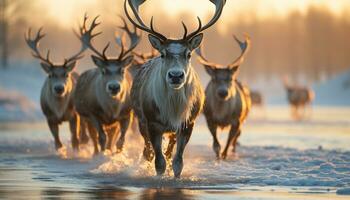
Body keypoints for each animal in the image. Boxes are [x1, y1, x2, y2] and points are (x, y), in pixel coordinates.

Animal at [23, 15, 90, 150]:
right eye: (50, 75)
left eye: (66, 74)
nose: (59, 88)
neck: (59, 111)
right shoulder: (49, 117)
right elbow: (57, 143)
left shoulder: (74, 115)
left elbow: (75, 140)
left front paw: (76, 150)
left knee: (83, 131)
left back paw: (85, 140)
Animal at [74, 15, 141, 155]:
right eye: (104, 71)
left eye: (122, 70)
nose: (114, 87)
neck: (111, 110)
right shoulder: (93, 112)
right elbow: (101, 137)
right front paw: (102, 154)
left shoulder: (127, 113)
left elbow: (120, 140)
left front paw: (117, 154)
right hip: (85, 115)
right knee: (93, 137)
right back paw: (96, 152)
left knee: (111, 136)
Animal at [124, 0, 226, 177]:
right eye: (163, 54)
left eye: (189, 54)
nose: (176, 75)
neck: (172, 110)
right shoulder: (152, 122)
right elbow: (159, 162)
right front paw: (159, 178)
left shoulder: (187, 122)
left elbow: (178, 161)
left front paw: (175, 177)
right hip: (140, 120)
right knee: (147, 152)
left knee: (169, 153)